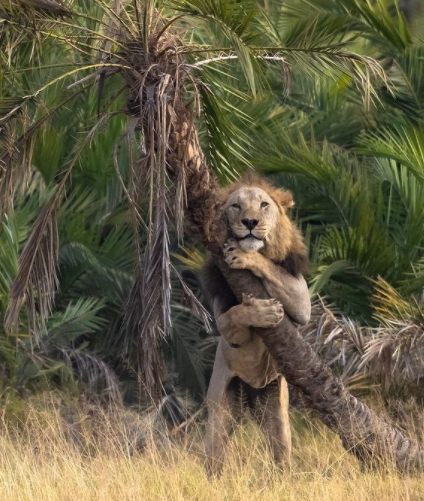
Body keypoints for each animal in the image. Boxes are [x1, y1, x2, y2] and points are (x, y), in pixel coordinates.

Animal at [202, 173, 312, 476]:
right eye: (236, 206)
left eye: (263, 205)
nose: (250, 222)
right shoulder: (224, 320)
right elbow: (235, 315)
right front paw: (261, 311)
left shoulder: (302, 300)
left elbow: (269, 266)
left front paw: (246, 256)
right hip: (221, 409)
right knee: (215, 454)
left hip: (276, 411)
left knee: (280, 451)